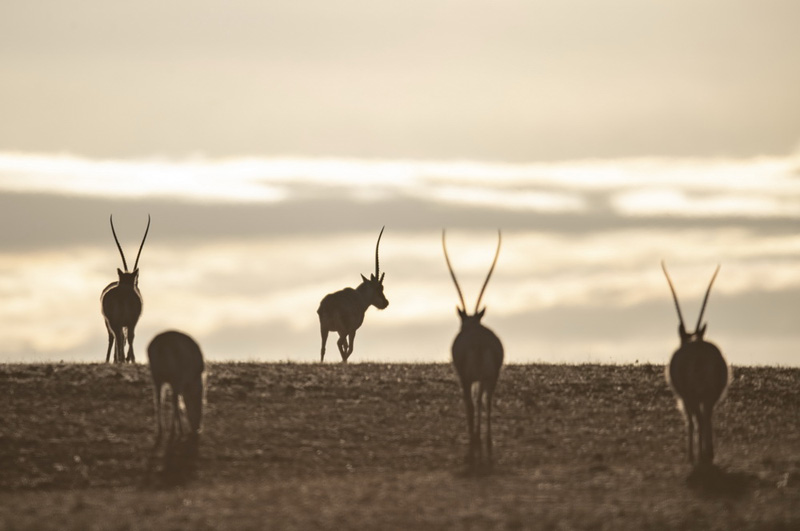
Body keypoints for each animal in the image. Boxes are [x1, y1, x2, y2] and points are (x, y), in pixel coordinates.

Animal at [101, 214, 149, 364]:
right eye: (137, 281)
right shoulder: (133, 321)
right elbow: (128, 337)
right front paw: (130, 359)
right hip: (118, 322)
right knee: (120, 337)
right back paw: (122, 359)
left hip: (114, 322)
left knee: (118, 337)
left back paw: (119, 359)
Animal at [146, 330, 206, 476]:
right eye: (199, 408)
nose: (197, 428)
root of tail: (161, 346)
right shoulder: (182, 380)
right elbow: (179, 403)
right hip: (175, 375)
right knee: (172, 400)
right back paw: (176, 430)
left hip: (156, 375)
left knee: (158, 400)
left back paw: (162, 429)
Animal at [318, 227, 390, 364]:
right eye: (379, 288)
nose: (386, 303)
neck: (360, 298)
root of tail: (327, 305)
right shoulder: (353, 330)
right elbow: (349, 348)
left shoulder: (339, 331)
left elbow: (346, 346)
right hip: (343, 330)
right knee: (339, 343)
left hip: (325, 329)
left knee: (323, 348)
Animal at [440, 229, 504, 466]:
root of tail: (479, 342)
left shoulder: (464, 378)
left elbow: (468, 403)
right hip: (490, 377)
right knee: (486, 401)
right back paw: (486, 438)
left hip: (471, 378)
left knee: (473, 401)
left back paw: (476, 438)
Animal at [664, 262, 732, 470]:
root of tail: (699, 353)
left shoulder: (685, 397)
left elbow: (691, 420)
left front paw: (690, 457)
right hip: (710, 394)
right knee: (706, 416)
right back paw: (708, 454)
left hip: (692, 395)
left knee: (698, 418)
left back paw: (701, 456)